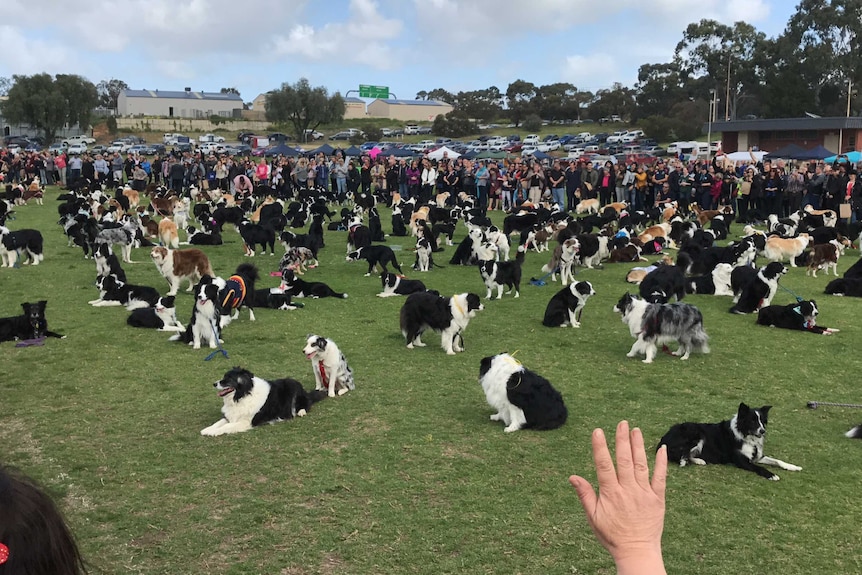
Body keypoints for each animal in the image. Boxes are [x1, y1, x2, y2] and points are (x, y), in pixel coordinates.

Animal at [660, 404, 804, 482]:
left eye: (762, 421)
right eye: (752, 421)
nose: (763, 431)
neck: (746, 436)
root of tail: (663, 440)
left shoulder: (758, 457)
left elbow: (777, 461)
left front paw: (793, 467)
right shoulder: (741, 460)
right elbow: (759, 467)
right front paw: (772, 475)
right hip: (696, 433)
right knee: (680, 455)